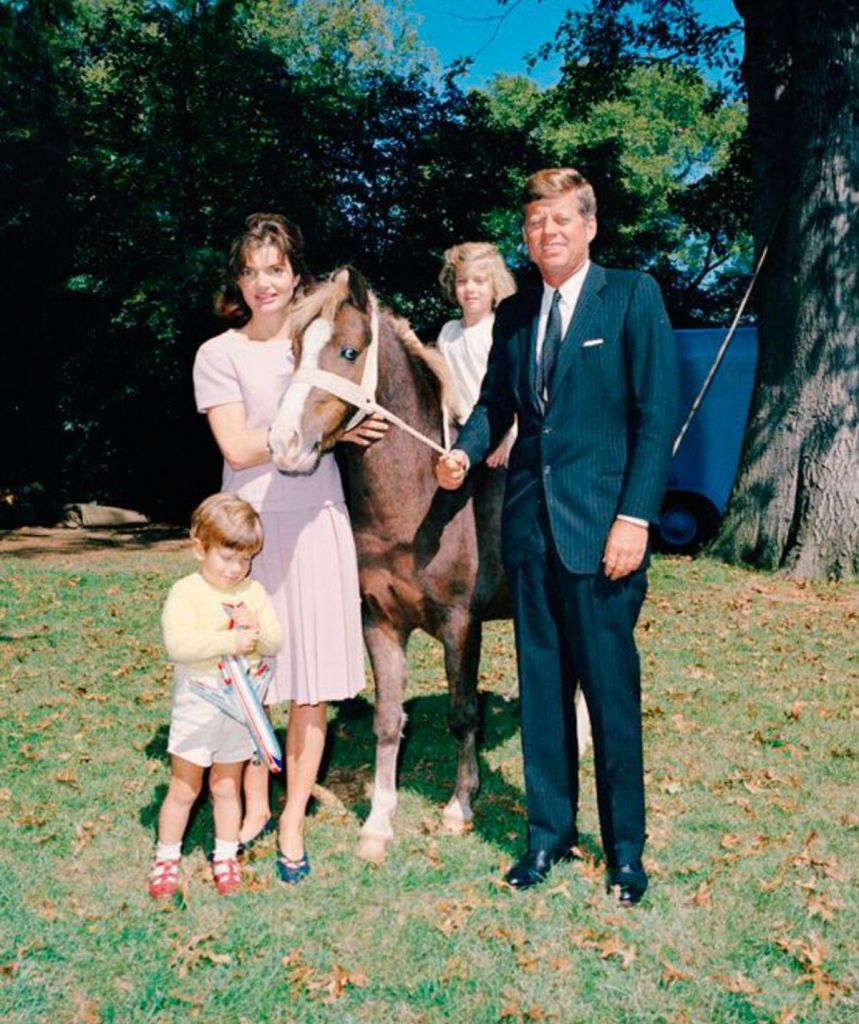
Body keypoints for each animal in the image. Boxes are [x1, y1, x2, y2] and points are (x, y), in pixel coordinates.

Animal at [272, 268, 589, 860]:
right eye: (295, 351)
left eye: (348, 351)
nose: (283, 444)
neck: (421, 504)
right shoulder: (380, 623)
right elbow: (387, 719)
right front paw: (379, 820)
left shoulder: (459, 624)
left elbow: (462, 715)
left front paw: (460, 805)